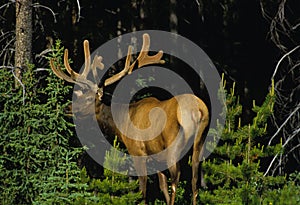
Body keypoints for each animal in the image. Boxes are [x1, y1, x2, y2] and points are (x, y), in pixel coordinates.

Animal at [49, 32, 209, 204]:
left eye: (88, 99)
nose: (67, 108)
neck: (122, 122)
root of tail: (197, 111)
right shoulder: (156, 158)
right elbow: (162, 187)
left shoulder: (137, 151)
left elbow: (143, 190)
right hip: (199, 144)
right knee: (195, 182)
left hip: (174, 145)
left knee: (176, 179)